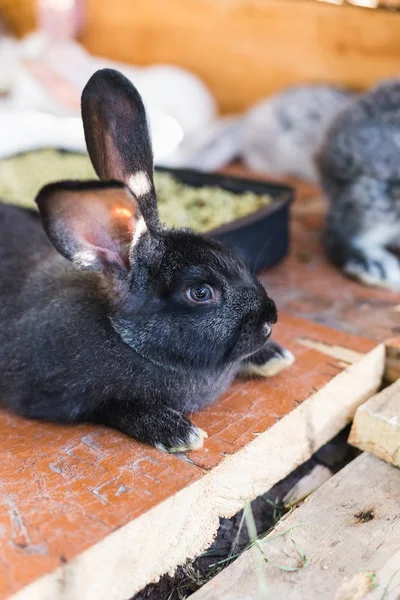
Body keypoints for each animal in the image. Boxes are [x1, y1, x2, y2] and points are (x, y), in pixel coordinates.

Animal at [0, 68, 294, 450]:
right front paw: (178, 433)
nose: (270, 318)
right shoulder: (75, 397)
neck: (125, 336)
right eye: (200, 293)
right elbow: (117, 407)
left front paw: (273, 357)